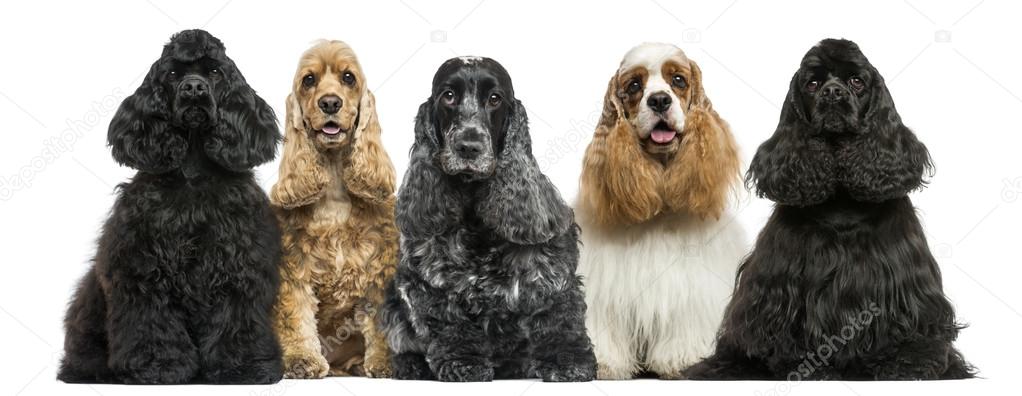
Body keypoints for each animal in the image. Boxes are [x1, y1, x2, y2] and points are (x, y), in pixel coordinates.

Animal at [58, 30, 286, 384]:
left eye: (214, 72)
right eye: (174, 73)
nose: (194, 88)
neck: (192, 170)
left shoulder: (239, 263)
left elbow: (237, 318)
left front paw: (243, 366)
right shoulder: (142, 265)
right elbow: (153, 322)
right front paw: (157, 366)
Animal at [269, 40, 396, 378]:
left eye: (348, 77)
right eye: (308, 80)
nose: (329, 103)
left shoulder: (379, 267)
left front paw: (385, 363)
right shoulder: (294, 268)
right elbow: (296, 316)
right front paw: (302, 359)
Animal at [380, 57, 596, 382]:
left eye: (495, 99)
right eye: (448, 96)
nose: (469, 146)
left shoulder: (550, 265)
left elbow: (559, 315)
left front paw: (568, 361)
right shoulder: (429, 280)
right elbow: (450, 322)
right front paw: (463, 362)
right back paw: (410, 366)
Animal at [580, 41, 748, 380]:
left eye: (679, 80)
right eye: (634, 85)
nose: (659, 100)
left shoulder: (692, 286)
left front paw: (682, 360)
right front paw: (605, 363)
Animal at [682, 39, 977, 380]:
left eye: (857, 81)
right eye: (812, 83)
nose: (833, 93)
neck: (841, 194)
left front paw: (907, 363)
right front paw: (807, 365)